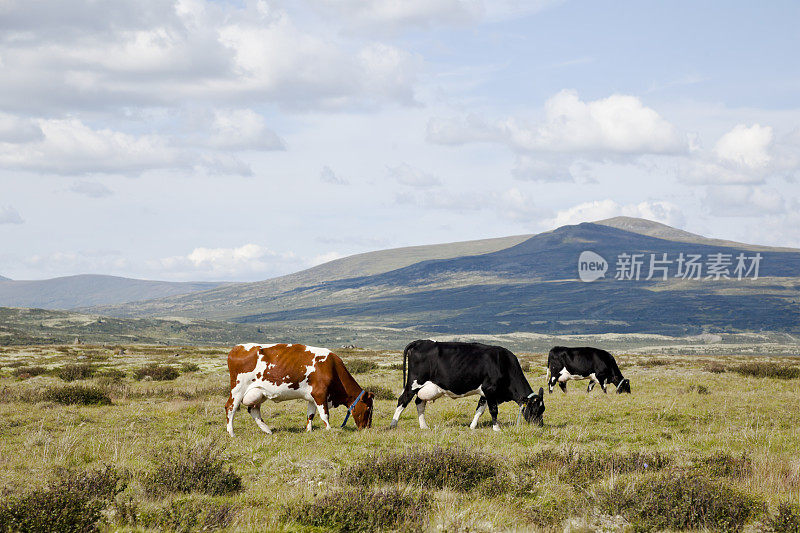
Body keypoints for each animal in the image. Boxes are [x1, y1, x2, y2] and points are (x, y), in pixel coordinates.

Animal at [225, 340, 376, 436]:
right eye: (368, 408)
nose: (367, 428)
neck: (332, 367)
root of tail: (237, 348)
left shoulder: (312, 397)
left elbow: (310, 414)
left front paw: (308, 431)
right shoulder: (320, 394)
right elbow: (325, 414)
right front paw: (329, 430)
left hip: (257, 392)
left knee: (253, 411)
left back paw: (267, 430)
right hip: (238, 388)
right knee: (230, 408)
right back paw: (231, 433)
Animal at [388, 338, 544, 430]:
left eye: (543, 409)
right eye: (535, 410)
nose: (540, 426)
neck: (504, 364)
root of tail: (420, 342)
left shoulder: (485, 393)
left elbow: (480, 409)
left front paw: (472, 426)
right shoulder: (490, 390)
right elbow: (493, 410)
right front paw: (496, 428)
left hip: (426, 387)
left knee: (419, 403)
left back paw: (424, 426)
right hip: (414, 383)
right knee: (403, 400)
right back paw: (393, 424)